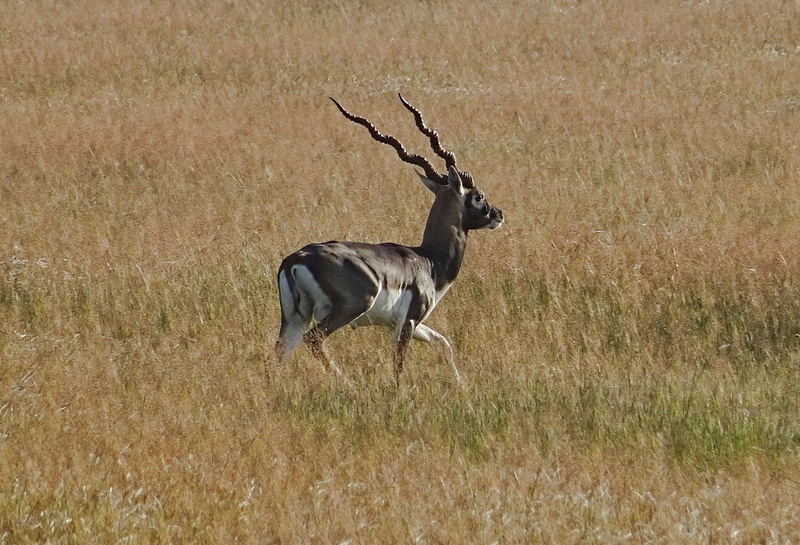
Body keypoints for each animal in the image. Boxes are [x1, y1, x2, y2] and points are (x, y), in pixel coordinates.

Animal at [274, 94, 504, 384]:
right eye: (478, 196)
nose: (498, 214)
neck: (429, 261)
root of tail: (295, 260)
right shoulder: (407, 322)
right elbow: (398, 364)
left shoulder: (409, 324)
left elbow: (444, 343)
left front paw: (461, 384)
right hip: (347, 309)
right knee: (314, 339)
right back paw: (348, 383)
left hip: (295, 318)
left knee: (279, 353)